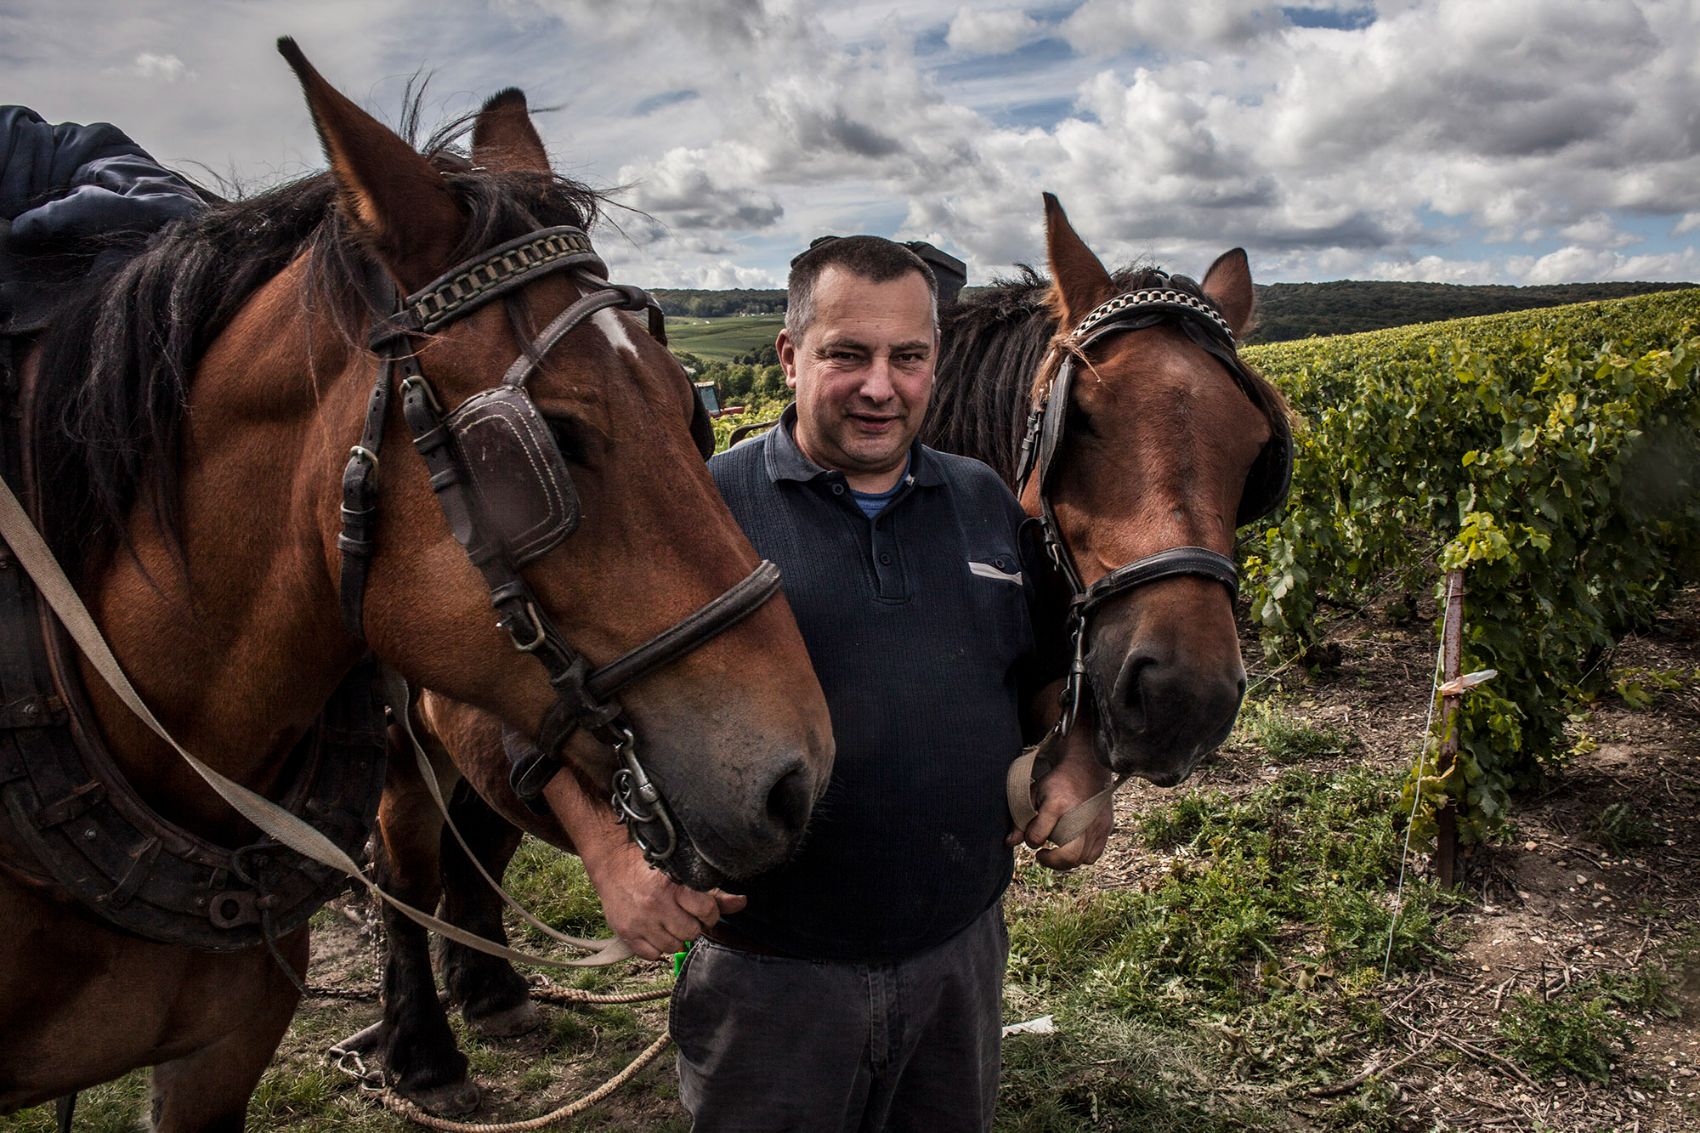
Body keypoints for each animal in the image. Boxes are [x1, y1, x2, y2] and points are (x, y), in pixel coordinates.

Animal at [0, 39, 829, 1122]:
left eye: (688, 409)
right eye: (552, 439)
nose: (795, 778)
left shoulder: (218, 1057)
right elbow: (416, 865)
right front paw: (423, 1042)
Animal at [355, 196, 1285, 1109]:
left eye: (1253, 444)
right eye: (1082, 421)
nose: (1186, 697)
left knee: (480, 837)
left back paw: (492, 990)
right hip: (406, 743)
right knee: (406, 872)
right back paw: (424, 1050)